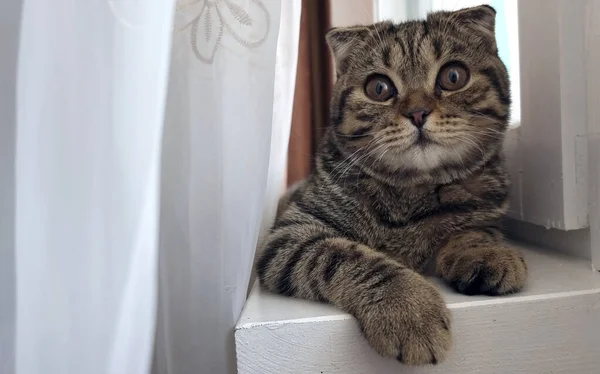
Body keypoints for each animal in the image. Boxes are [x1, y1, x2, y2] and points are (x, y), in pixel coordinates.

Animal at [256, 5, 524, 366]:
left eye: (453, 77)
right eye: (379, 88)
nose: (418, 112)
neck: (412, 192)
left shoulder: (486, 212)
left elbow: (474, 231)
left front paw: (486, 253)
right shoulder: (291, 234)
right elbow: (347, 255)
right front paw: (409, 309)